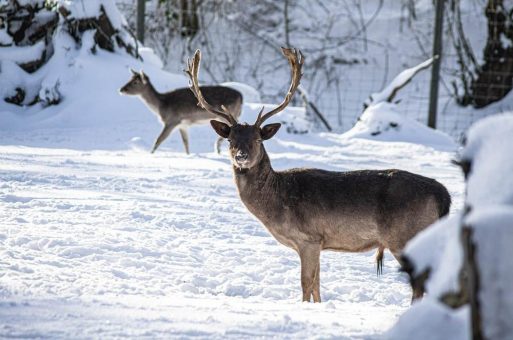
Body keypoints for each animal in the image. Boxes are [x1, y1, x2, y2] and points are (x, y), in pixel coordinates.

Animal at [184, 48, 448, 302]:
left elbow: (306, 285)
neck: (276, 202)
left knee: (421, 284)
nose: (241, 156)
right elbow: (317, 287)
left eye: (258, 139)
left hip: (407, 236)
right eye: (230, 139)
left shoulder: (308, 238)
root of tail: (444, 195)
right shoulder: (320, 243)